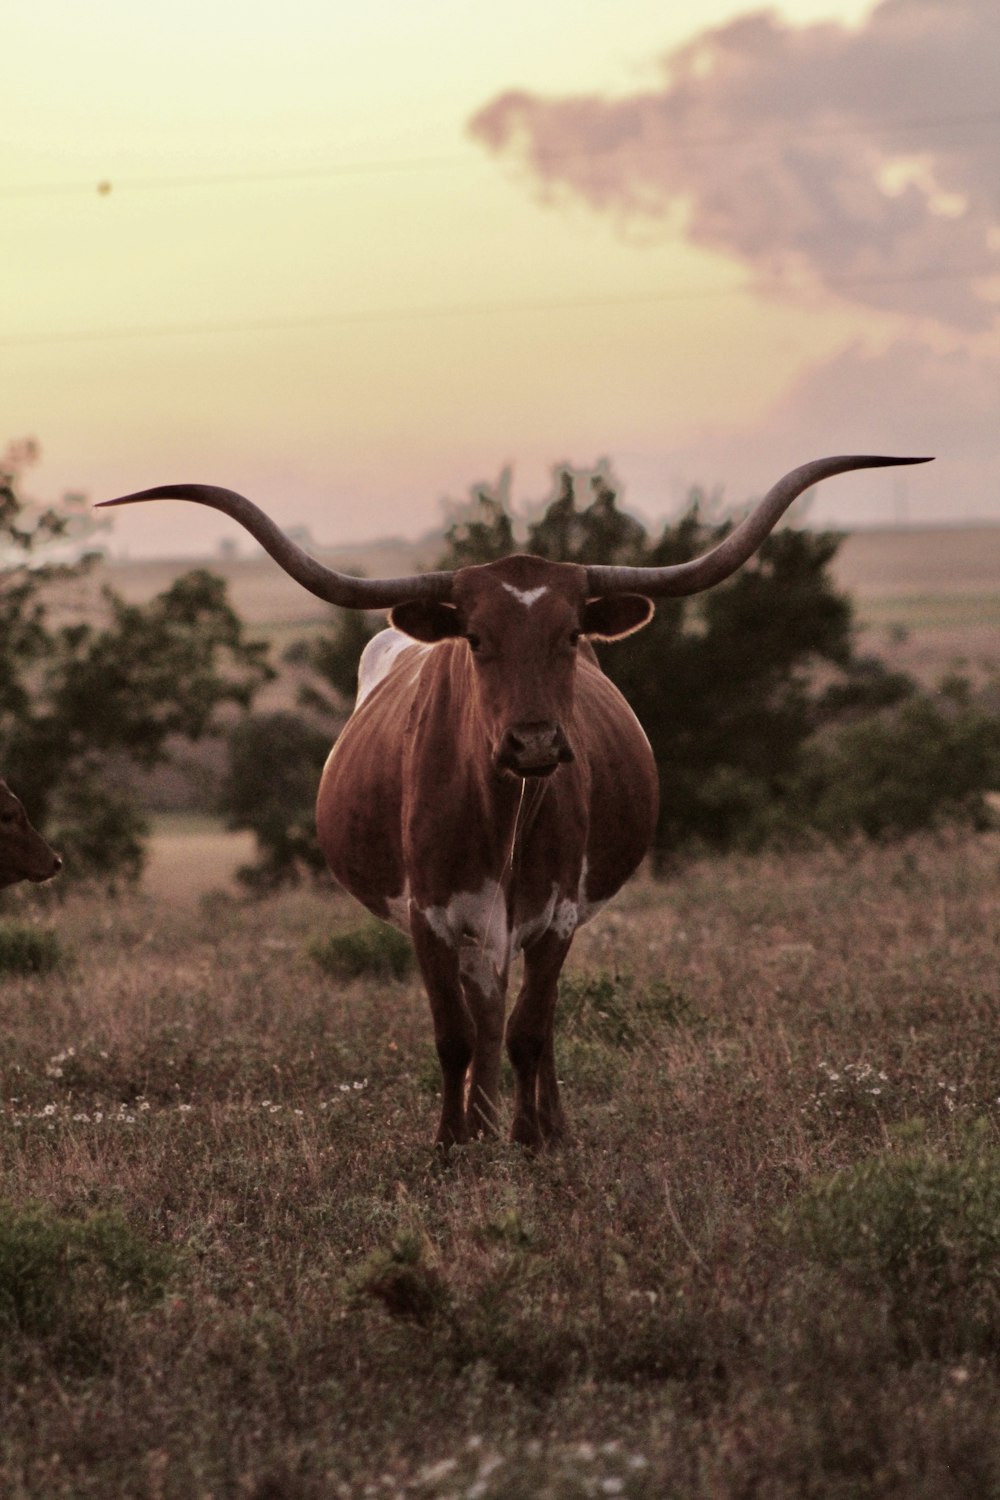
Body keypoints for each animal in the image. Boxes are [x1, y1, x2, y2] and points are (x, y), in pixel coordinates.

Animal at [99, 456, 929, 1146]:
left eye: (570, 634)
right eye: (476, 638)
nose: (532, 743)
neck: (499, 807)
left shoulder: (556, 913)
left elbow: (533, 1030)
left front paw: (533, 1140)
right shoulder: (431, 917)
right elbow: (455, 1037)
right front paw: (454, 1145)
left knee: (529, 1020)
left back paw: (532, 1122)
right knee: (485, 1019)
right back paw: (482, 1116)